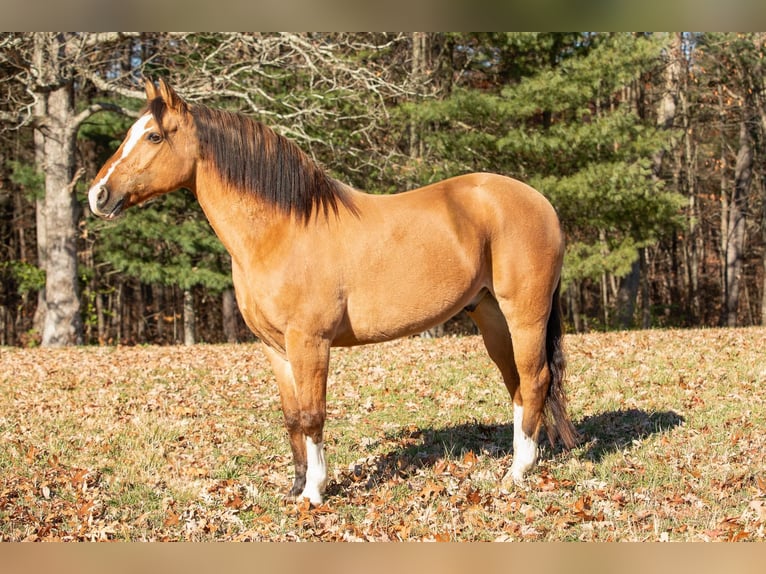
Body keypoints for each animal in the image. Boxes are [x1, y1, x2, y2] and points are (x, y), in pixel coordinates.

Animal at [87, 79, 576, 506]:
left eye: (152, 135)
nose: (98, 195)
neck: (283, 229)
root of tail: (541, 203)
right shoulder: (275, 348)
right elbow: (291, 417)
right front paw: (295, 488)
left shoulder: (310, 342)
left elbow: (312, 414)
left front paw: (315, 492)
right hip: (490, 316)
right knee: (517, 385)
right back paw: (520, 462)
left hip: (525, 314)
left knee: (535, 379)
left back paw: (517, 474)